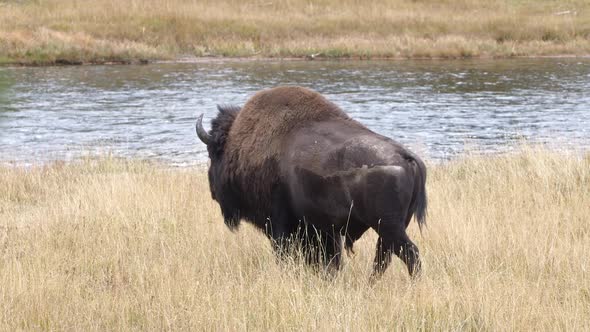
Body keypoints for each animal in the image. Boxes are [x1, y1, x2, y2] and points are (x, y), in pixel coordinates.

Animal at [197, 86, 428, 278]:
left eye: (212, 154)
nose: (212, 191)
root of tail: (405, 156)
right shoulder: (321, 230)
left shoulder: (280, 226)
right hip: (391, 228)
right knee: (384, 259)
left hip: (389, 227)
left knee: (409, 254)